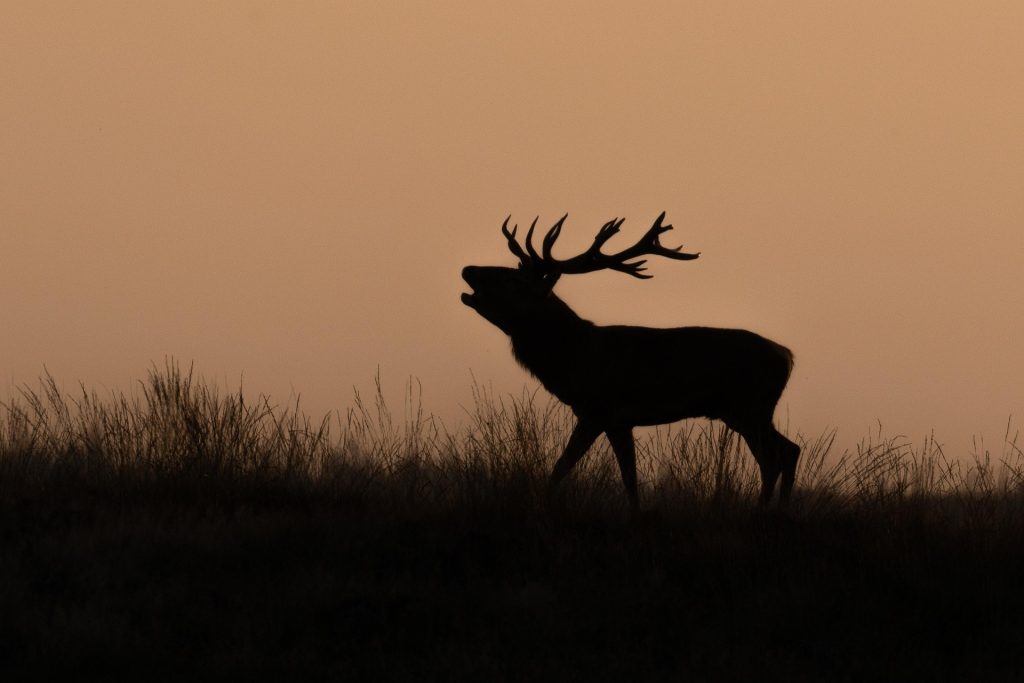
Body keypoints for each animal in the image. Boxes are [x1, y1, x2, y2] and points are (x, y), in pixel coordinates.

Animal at [461, 212, 800, 510]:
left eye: (512, 280)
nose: (467, 269)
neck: (574, 357)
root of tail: (788, 356)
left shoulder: (599, 410)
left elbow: (562, 467)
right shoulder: (619, 421)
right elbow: (629, 478)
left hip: (750, 408)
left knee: (777, 455)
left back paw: (764, 511)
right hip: (743, 412)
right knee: (786, 451)